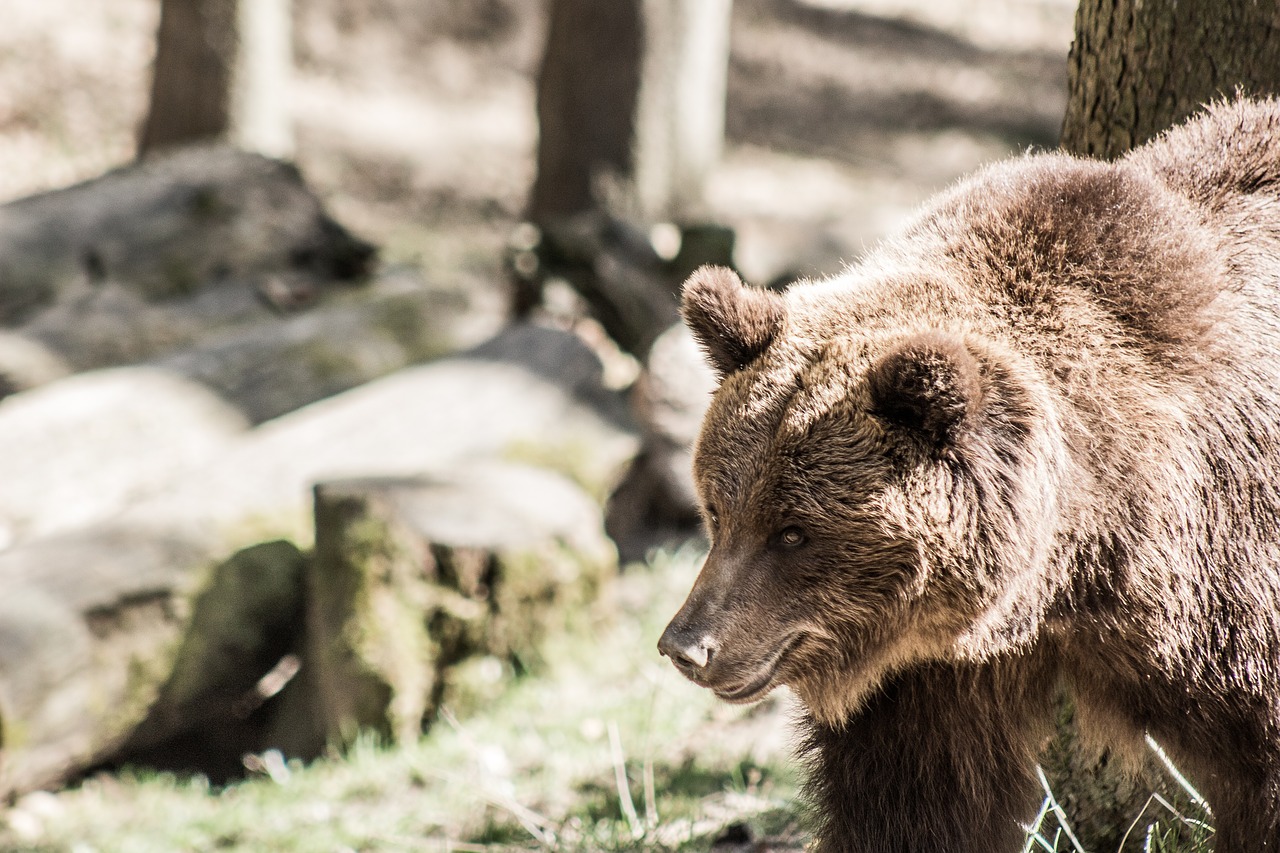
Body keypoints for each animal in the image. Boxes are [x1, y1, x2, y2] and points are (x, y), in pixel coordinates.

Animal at [660, 96, 1280, 845]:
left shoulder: (1228, 584)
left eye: (794, 531)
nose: (686, 645)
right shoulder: (932, 675)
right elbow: (920, 802)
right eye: (718, 509)